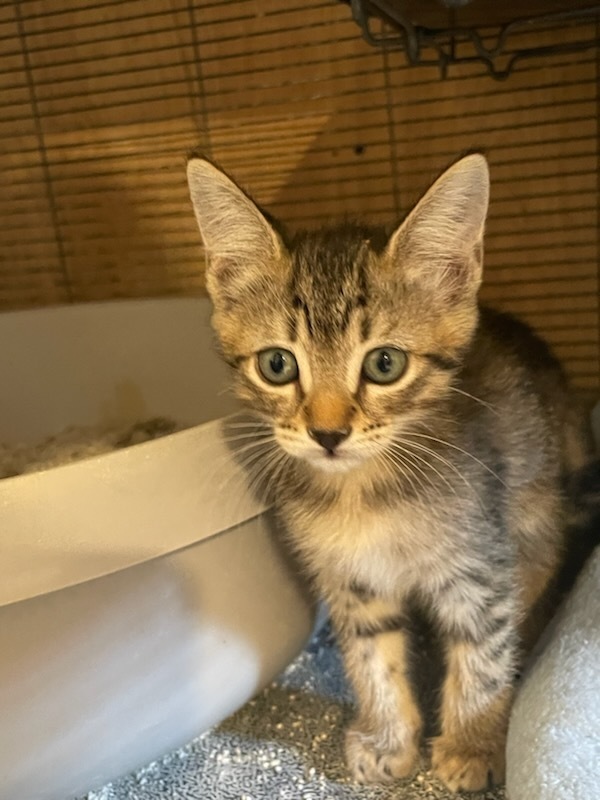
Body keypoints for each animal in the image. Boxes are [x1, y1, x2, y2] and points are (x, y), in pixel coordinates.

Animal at [186, 155, 584, 792]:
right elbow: (372, 658)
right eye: (277, 365)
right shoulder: (353, 583)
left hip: (536, 512)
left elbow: (483, 656)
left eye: (385, 363)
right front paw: (389, 739)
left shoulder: (481, 566)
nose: (327, 434)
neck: (363, 496)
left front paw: (473, 744)